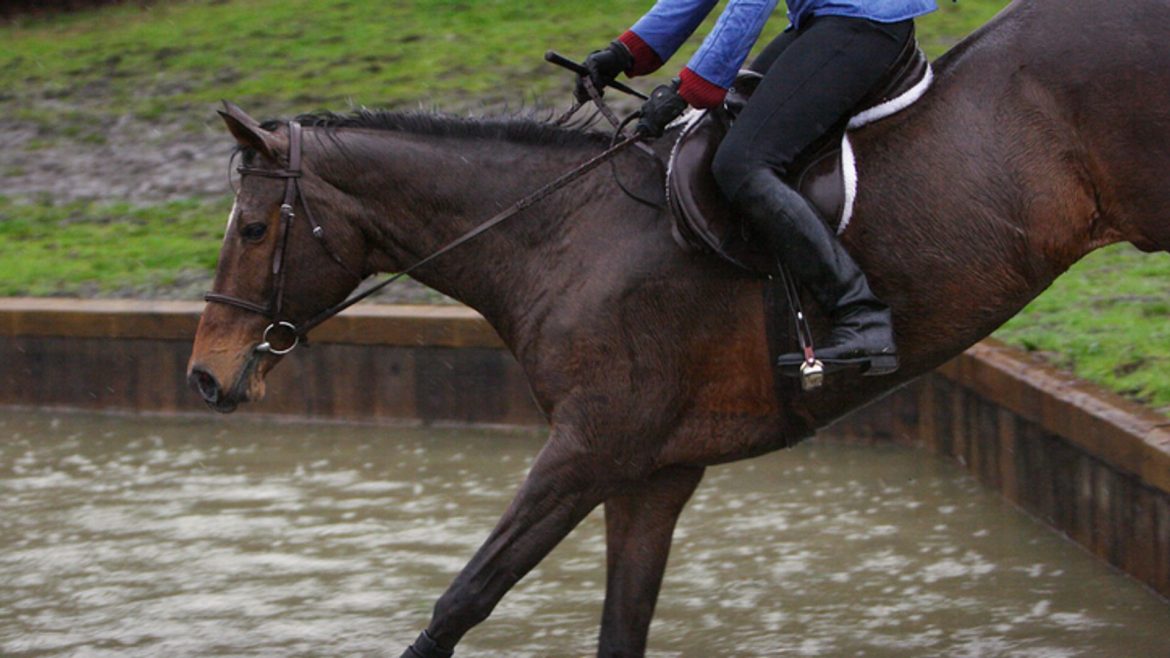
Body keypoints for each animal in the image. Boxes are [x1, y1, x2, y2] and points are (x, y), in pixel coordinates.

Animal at [186, 1, 1170, 655]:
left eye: (254, 230)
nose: (205, 375)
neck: (561, 235)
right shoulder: (650, 472)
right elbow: (621, 626)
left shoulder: (589, 447)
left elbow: (462, 601)